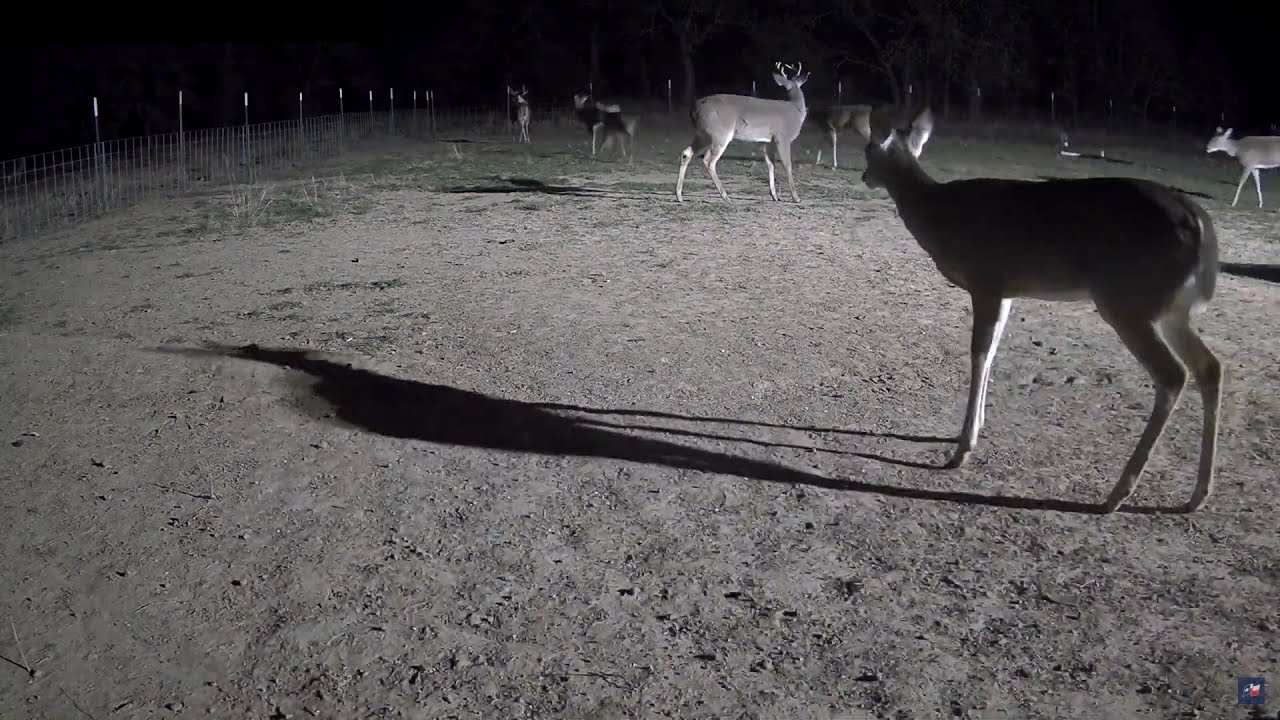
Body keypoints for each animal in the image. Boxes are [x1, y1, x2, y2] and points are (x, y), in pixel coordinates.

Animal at [676, 61, 810, 203]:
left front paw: (774, 196)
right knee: (709, 160)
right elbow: (787, 164)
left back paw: (679, 196)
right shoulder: (782, 137)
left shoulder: (768, 142)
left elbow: (771, 164)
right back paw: (726, 197)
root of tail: (694, 109)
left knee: (686, 153)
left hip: (703, 134)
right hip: (720, 133)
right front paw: (796, 197)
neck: (796, 110)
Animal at [858, 106, 1224, 514]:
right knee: (1209, 367)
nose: (865, 176)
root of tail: (1202, 229)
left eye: (869, 148)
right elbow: (993, 350)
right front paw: (975, 429)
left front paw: (962, 449)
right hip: (1170, 308)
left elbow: (979, 352)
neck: (937, 213)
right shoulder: (1007, 290)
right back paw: (1198, 494)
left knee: (1173, 374)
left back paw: (1117, 494)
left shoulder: (986, 279)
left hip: (1125, 298)